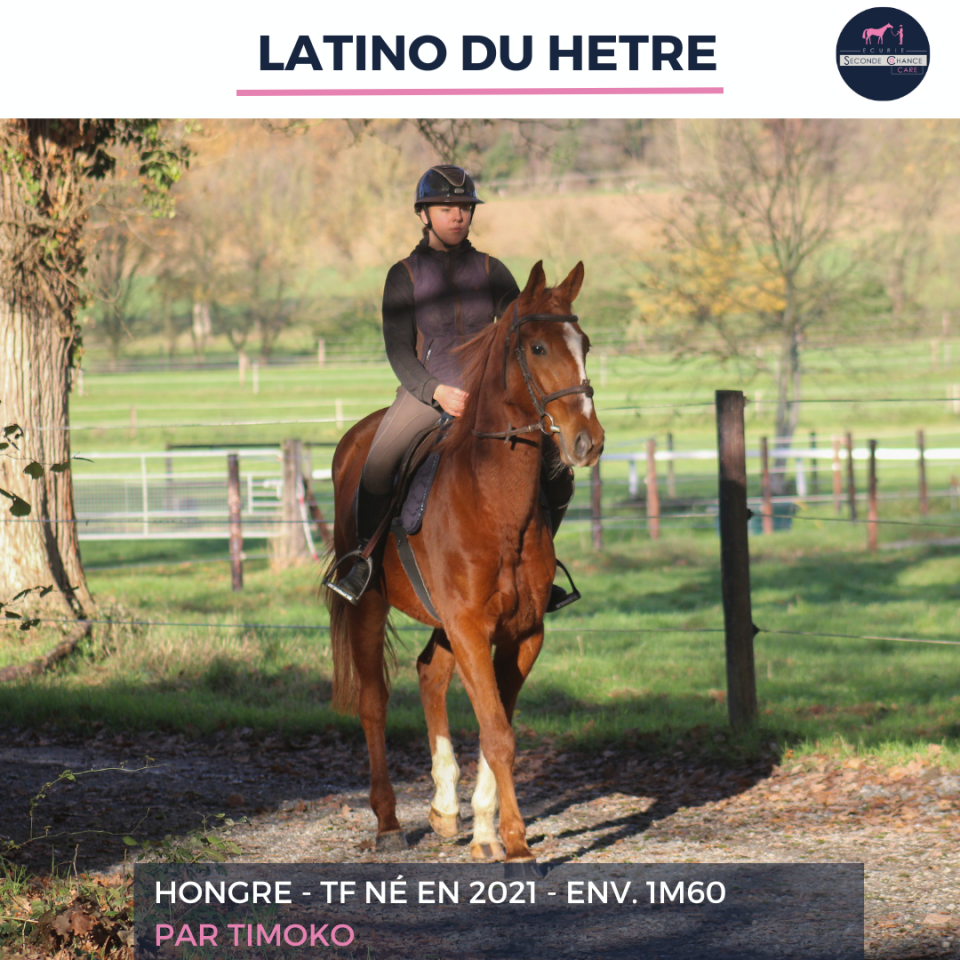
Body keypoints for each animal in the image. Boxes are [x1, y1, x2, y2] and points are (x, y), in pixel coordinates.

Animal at [323, 260, 605, 864]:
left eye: (586, 344)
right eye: (538, 347)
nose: (587, 442)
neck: (493, 502)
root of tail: (357, 435)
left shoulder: (520, 632)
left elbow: (497, 724)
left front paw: (484, 831)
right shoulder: (473, 627)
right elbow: (498, 733)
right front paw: (517, 845)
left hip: (445, 623)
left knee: (430, 673)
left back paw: (445, 809)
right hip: (370, 607)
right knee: (374, 703)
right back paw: (388, 823)